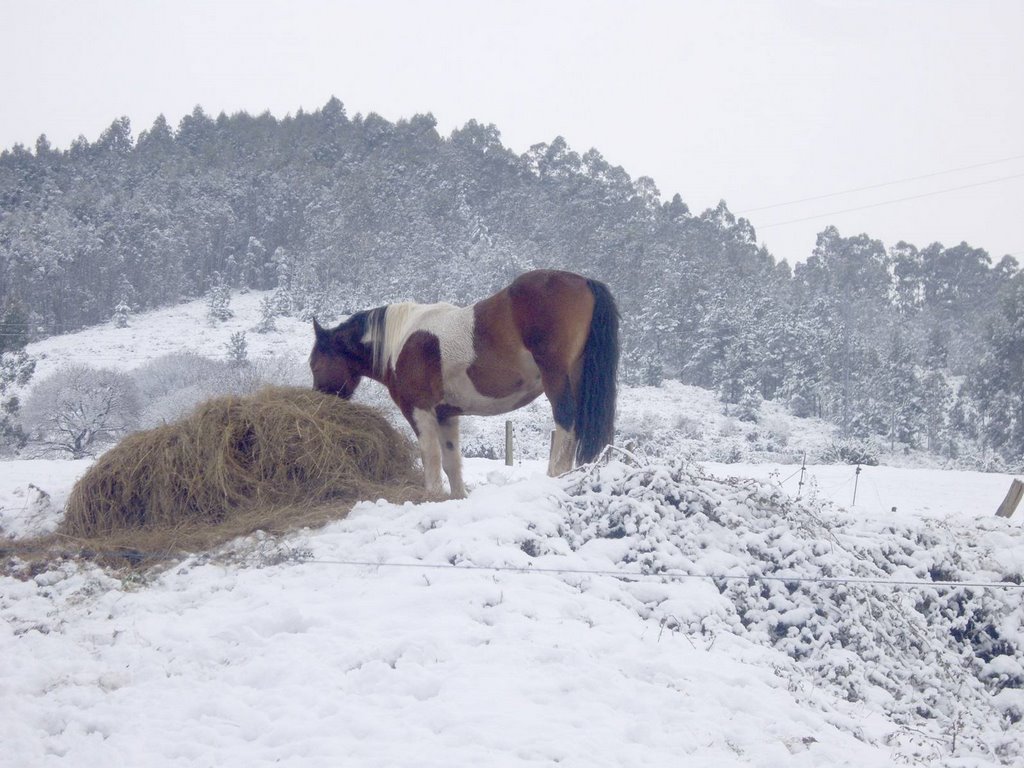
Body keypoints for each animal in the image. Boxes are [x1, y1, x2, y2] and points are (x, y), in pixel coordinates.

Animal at [307, 270, 618, 499]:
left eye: (314, 364)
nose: (318, 403)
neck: (401, 342)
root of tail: (583, 281)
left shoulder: (420, 410)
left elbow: (430, 456)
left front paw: (432, 495)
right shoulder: (446, 415)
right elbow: (451, 461)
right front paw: (457, 497)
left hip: (557, 378)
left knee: (565, 422)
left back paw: (556, 476)